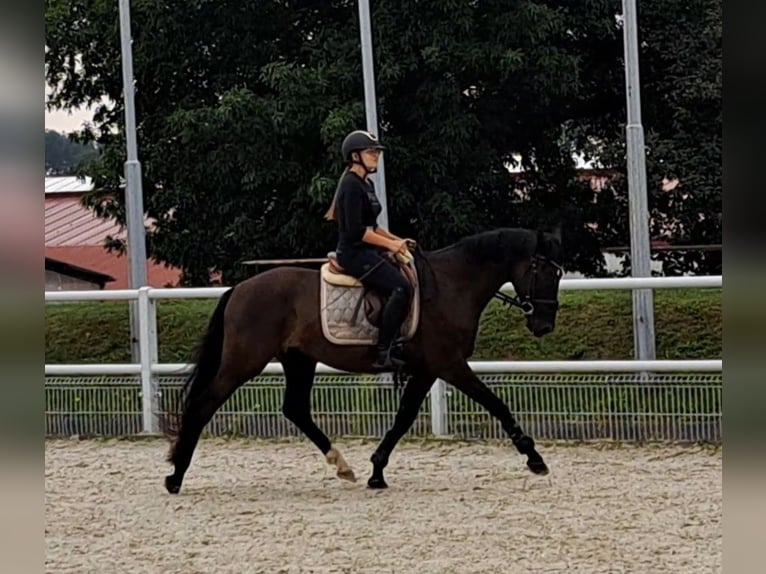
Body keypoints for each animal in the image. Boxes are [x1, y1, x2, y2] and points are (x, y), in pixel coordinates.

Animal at [165, 226, 568, 496]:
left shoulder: (426, 370)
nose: (544, 325)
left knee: (295, 409)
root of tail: (239, 289)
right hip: (244, 362)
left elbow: (404, 417)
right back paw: (175, 476)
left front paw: (377, 471)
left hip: (299, 360)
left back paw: (343, 467)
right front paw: (534, 458)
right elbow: (496, 404)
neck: (452, 285)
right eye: (546, 271)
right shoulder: (449, 365)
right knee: (203, 404)